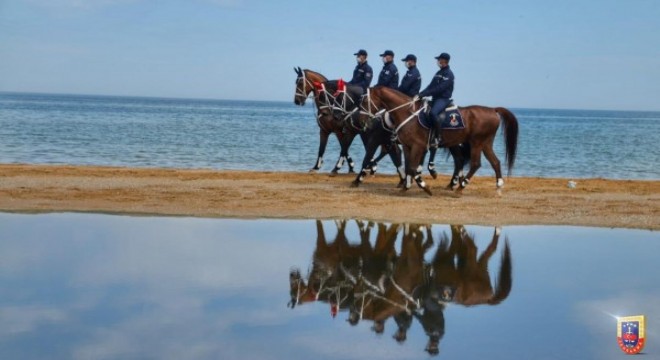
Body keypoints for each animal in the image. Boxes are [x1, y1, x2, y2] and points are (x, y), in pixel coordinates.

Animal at [368, 86, 520, 194]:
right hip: (485, 143)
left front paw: (425, 185)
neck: (407, 113)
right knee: (494, 162)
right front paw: (407, 186)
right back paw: (498, 186)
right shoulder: (407, 146)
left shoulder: (418, 146)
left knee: (475, 164)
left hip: (476, 142)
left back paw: (460, 187)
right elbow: (408, 166)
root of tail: (493, 110)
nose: (368, 120)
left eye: (365, 100)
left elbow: (412, 167)